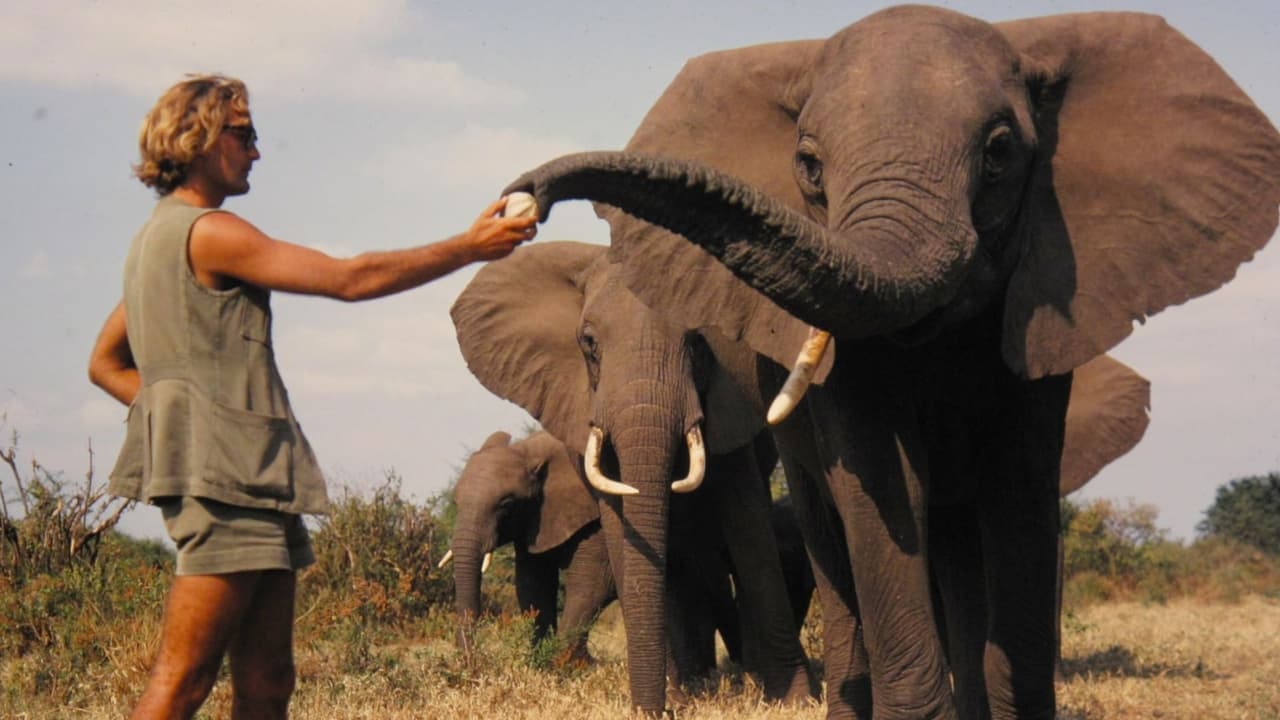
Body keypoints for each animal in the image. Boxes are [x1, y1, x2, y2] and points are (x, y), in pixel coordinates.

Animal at [450, 239, 808, 707]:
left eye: (697, 342)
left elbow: (748, 528)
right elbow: (557, 570)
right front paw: (668, 702)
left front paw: (796, 700)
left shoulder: (733, 402)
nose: (469, 673)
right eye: (588, 343)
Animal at [504, 4, 1274, 712]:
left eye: (1000, 153)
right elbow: (883, 482)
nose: (524, 196)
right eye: (809, 165)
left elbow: (1020, 483)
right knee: (832, 535)